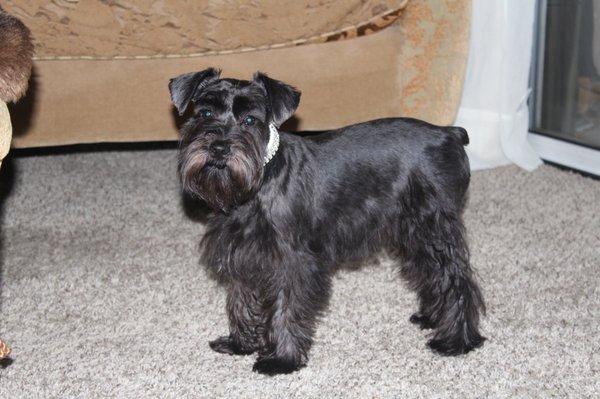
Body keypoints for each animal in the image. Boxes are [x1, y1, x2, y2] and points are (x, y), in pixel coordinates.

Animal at [168, 67, 482, 376]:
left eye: (250, 120)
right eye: (205, 113)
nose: (219, 148)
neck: (256, 185)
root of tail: (450, 134)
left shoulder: (294, 263)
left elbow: (286, 308)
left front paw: (281, 359)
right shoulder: (242, 254)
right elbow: (240, 299)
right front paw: (240, 343)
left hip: (433, 229)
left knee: (457, 281)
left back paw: (455, 340)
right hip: (415, 235)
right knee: (431, 275)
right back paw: (433, 318)